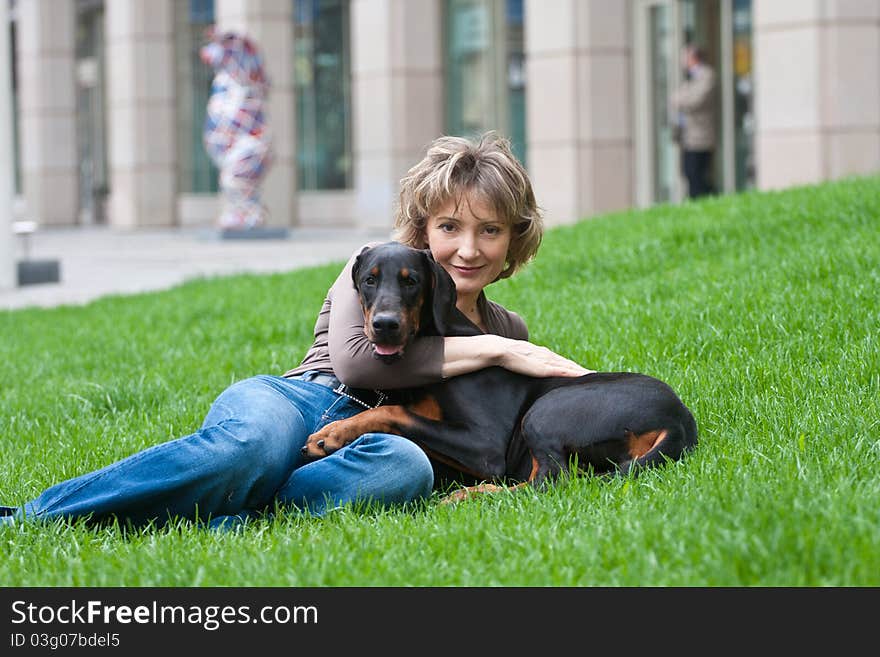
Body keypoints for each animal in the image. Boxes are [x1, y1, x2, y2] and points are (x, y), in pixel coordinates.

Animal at [300, 243, 696, 494]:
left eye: (411, 280)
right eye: (369, 279)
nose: (385, 325)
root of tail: (679, 420)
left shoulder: (485, 446)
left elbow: (394, 412)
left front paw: (329, 434)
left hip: (544, 412)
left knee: (551, 482)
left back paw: (470, 496)